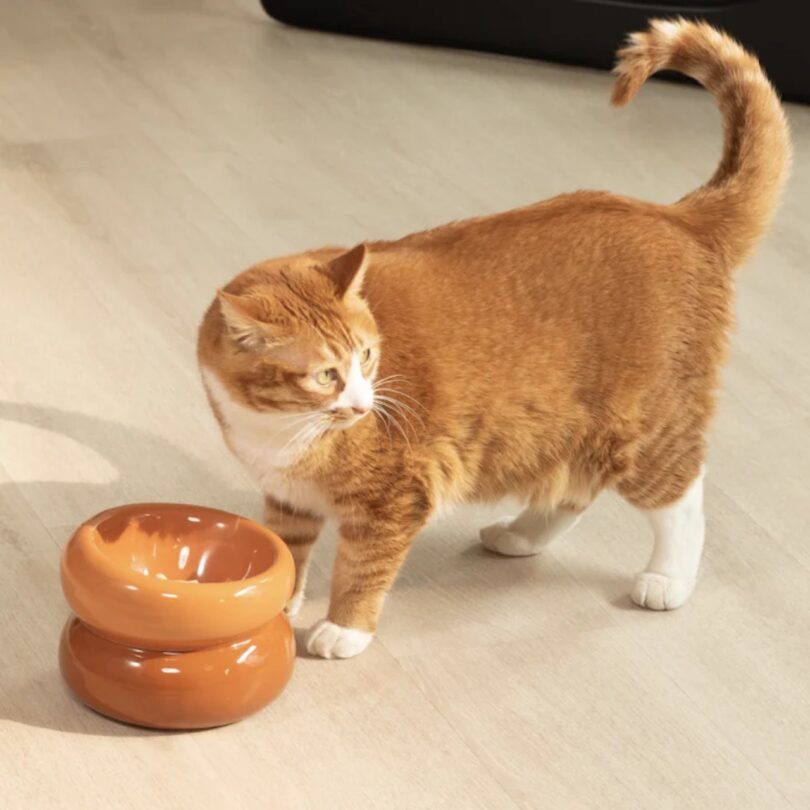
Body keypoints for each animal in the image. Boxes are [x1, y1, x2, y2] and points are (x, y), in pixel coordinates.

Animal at [197, 20, 788, 656]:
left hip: (647, 428)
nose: (361, 404)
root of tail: (675, 216)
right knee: (575, 488)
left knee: (682, 495)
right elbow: (288, 551)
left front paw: (343, 628)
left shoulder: (394, 499)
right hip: (569, 428)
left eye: (367, 356)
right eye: (326, 374)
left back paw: (667, 579)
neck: (280, 428)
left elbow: (363, 568)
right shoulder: (289, 501)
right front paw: (277, 604)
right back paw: (521, 535)